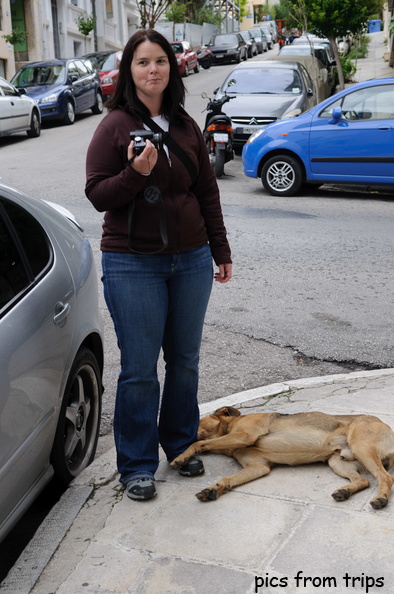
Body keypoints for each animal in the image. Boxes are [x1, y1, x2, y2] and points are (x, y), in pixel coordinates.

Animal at [171, 404, 394, 506]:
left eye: (197, 420)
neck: (231, 426)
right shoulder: (258, 466)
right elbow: (227, 479)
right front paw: (213, 489)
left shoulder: (244, 436)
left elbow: (199, 442)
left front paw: (181, 457)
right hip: (338, 462)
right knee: (363, 480)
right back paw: (345, 491)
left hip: (361, 447)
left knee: (386, 478)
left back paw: (381, 499)